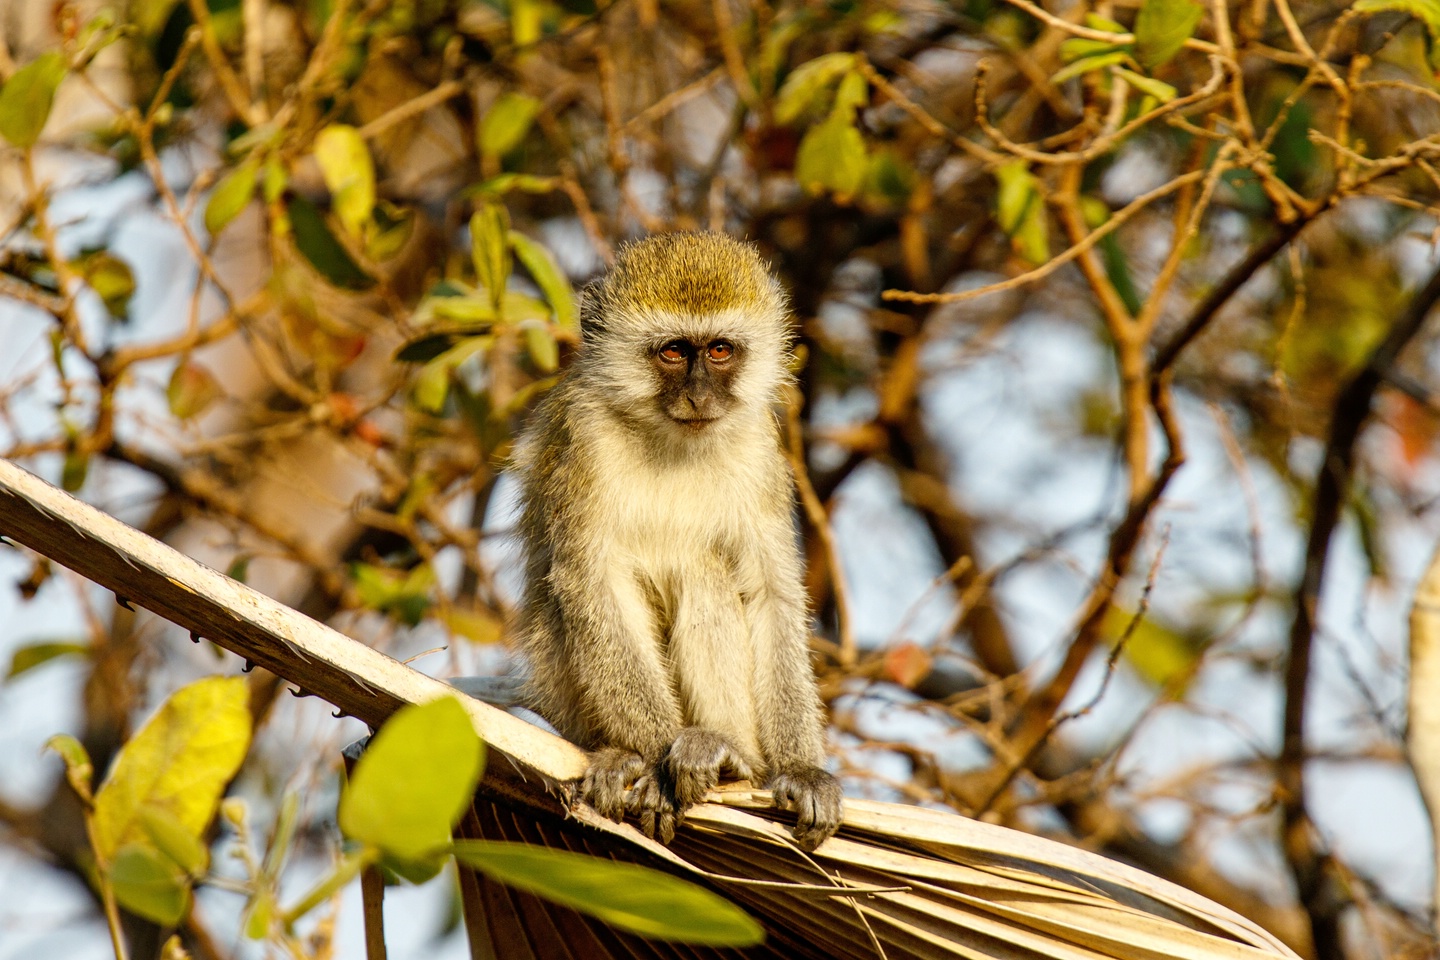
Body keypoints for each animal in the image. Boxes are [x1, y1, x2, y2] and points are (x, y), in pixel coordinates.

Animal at [512, 233, 840, 846]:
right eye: (671, 353)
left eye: (719, 351)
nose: (698, 397)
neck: (673, 439)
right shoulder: (581, 435)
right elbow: (590, 583)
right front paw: (656, 757)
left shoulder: (760, 450)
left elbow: (770, 594)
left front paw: (800, 768)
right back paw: (628, 754)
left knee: (706, 575)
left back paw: (731, 759)